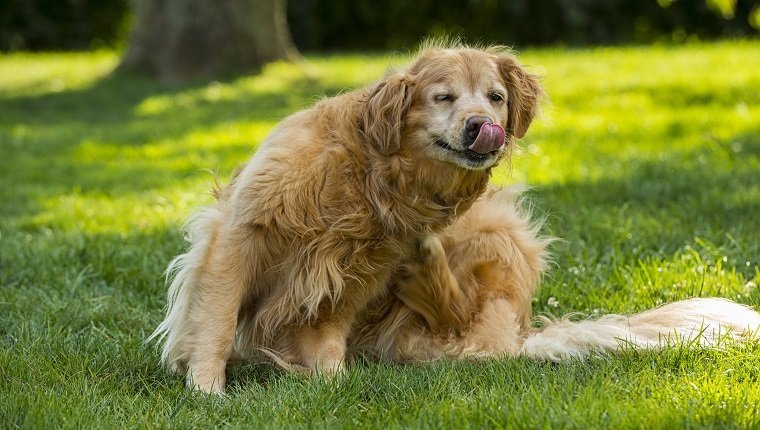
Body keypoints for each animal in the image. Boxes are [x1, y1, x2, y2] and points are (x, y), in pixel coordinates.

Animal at [150, 41, 540, 394]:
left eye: (496, 97)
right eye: (443, 97)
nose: (481, 125)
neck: (372, 170)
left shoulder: (352, 270)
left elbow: (327, 334)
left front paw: (334, 381)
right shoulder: (241, 231)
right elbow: (218, 318)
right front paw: (206, 387)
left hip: (497, 225)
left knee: (461, 317)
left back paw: (425, 263)